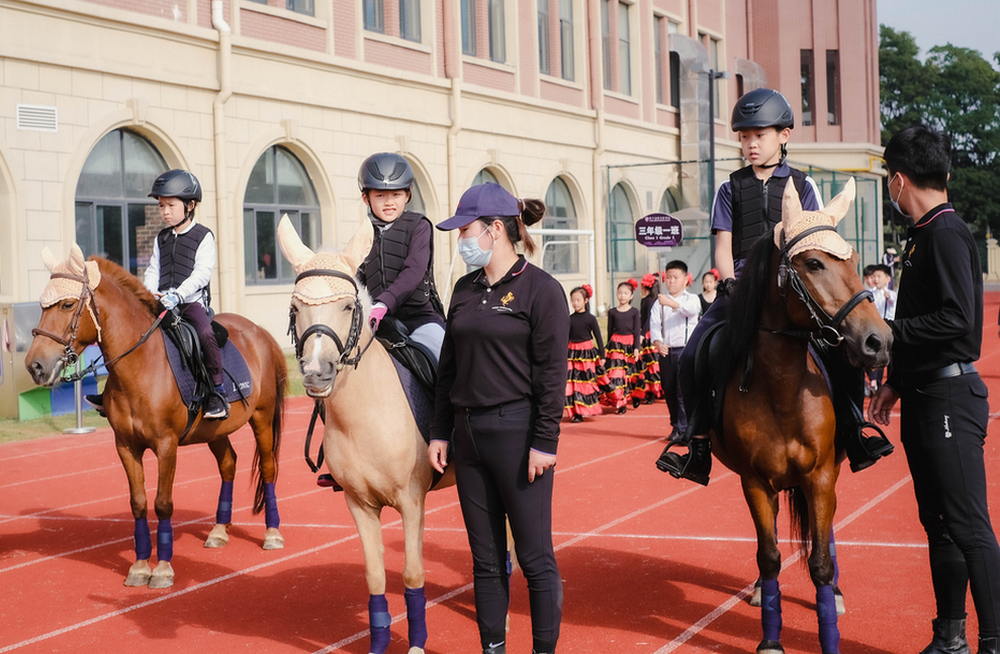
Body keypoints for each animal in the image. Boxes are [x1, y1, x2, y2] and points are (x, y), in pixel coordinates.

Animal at [24, 249, 290, 592]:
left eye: (68, 305)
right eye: (43, 305)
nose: (35, 365)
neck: (141, 365)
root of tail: (259, 332)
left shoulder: (166, 445)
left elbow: (163, 503)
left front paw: (162, 568)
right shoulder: (126, 446)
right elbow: (138, 503)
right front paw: (139, 566)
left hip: (262, 417)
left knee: (269, 468)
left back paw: (272, 533)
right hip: (216, 431)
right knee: (229, 464)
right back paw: (219, 530)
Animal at [278, 217, 458, 654]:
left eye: (347, 306)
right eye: (295, 308)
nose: (316, 373)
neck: (365, 416)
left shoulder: (412, 503)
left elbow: (412, 574)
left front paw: (416, 644)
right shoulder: (359, 505)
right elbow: (376, 577)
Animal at [708, 177, 896, 652]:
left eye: (853, 260)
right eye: (813, 263)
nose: (879, 340)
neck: (782, 389)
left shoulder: (821, 475)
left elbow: (821, 561)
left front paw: (829, 631)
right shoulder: (755, 481)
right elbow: (770, 555)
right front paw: (770, 638)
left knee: (824, 533)